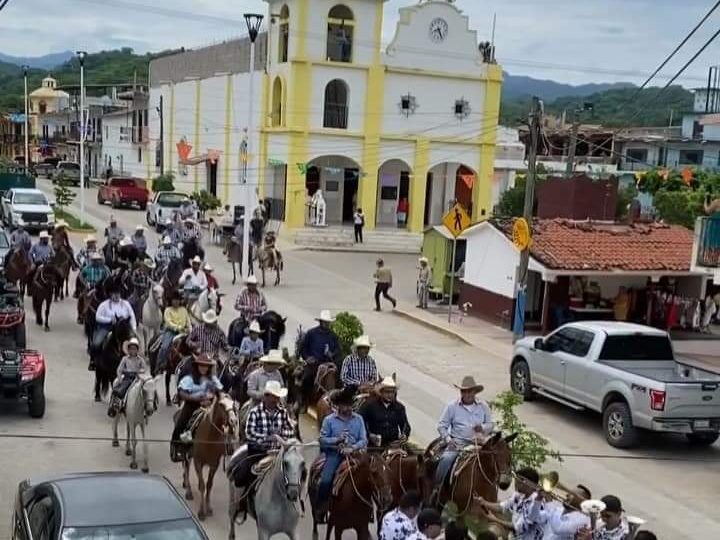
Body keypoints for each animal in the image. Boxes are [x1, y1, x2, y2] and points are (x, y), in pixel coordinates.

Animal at [181, 392, 238, 520]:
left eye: (233, 404)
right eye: (221, 404)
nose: (233, 421)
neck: (209, 437)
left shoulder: (214, 464)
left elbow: (209, 485)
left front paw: (209, 508)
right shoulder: (198, 462)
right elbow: (202, 485)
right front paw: (202, 512)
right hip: (188, 454)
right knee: (186, 467)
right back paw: (188, 491)